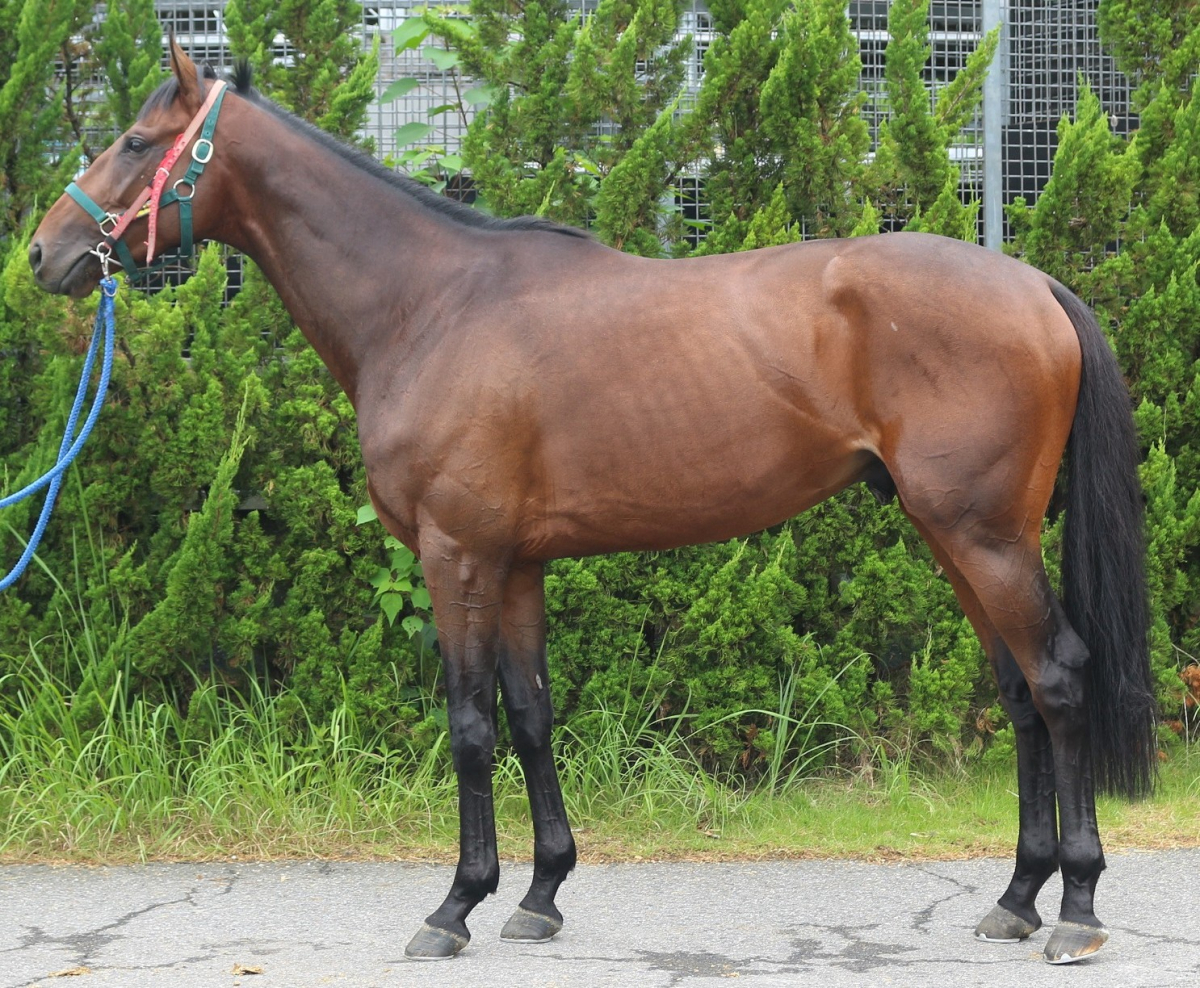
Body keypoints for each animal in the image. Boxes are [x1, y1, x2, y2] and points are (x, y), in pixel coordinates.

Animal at [29, 41, 1157, 965]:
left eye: (136, 141)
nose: (44, 252)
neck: (429, 304)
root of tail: (1036, 287)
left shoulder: (456, 553)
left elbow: (469, 723)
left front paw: (454, 906)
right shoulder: (516, 561)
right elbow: (531, 715)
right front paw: (539, 894)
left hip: (985, 535)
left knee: (1058, 679)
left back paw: (1076, 910)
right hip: (954, 535)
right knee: (1018, 692)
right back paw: (1016, 896)